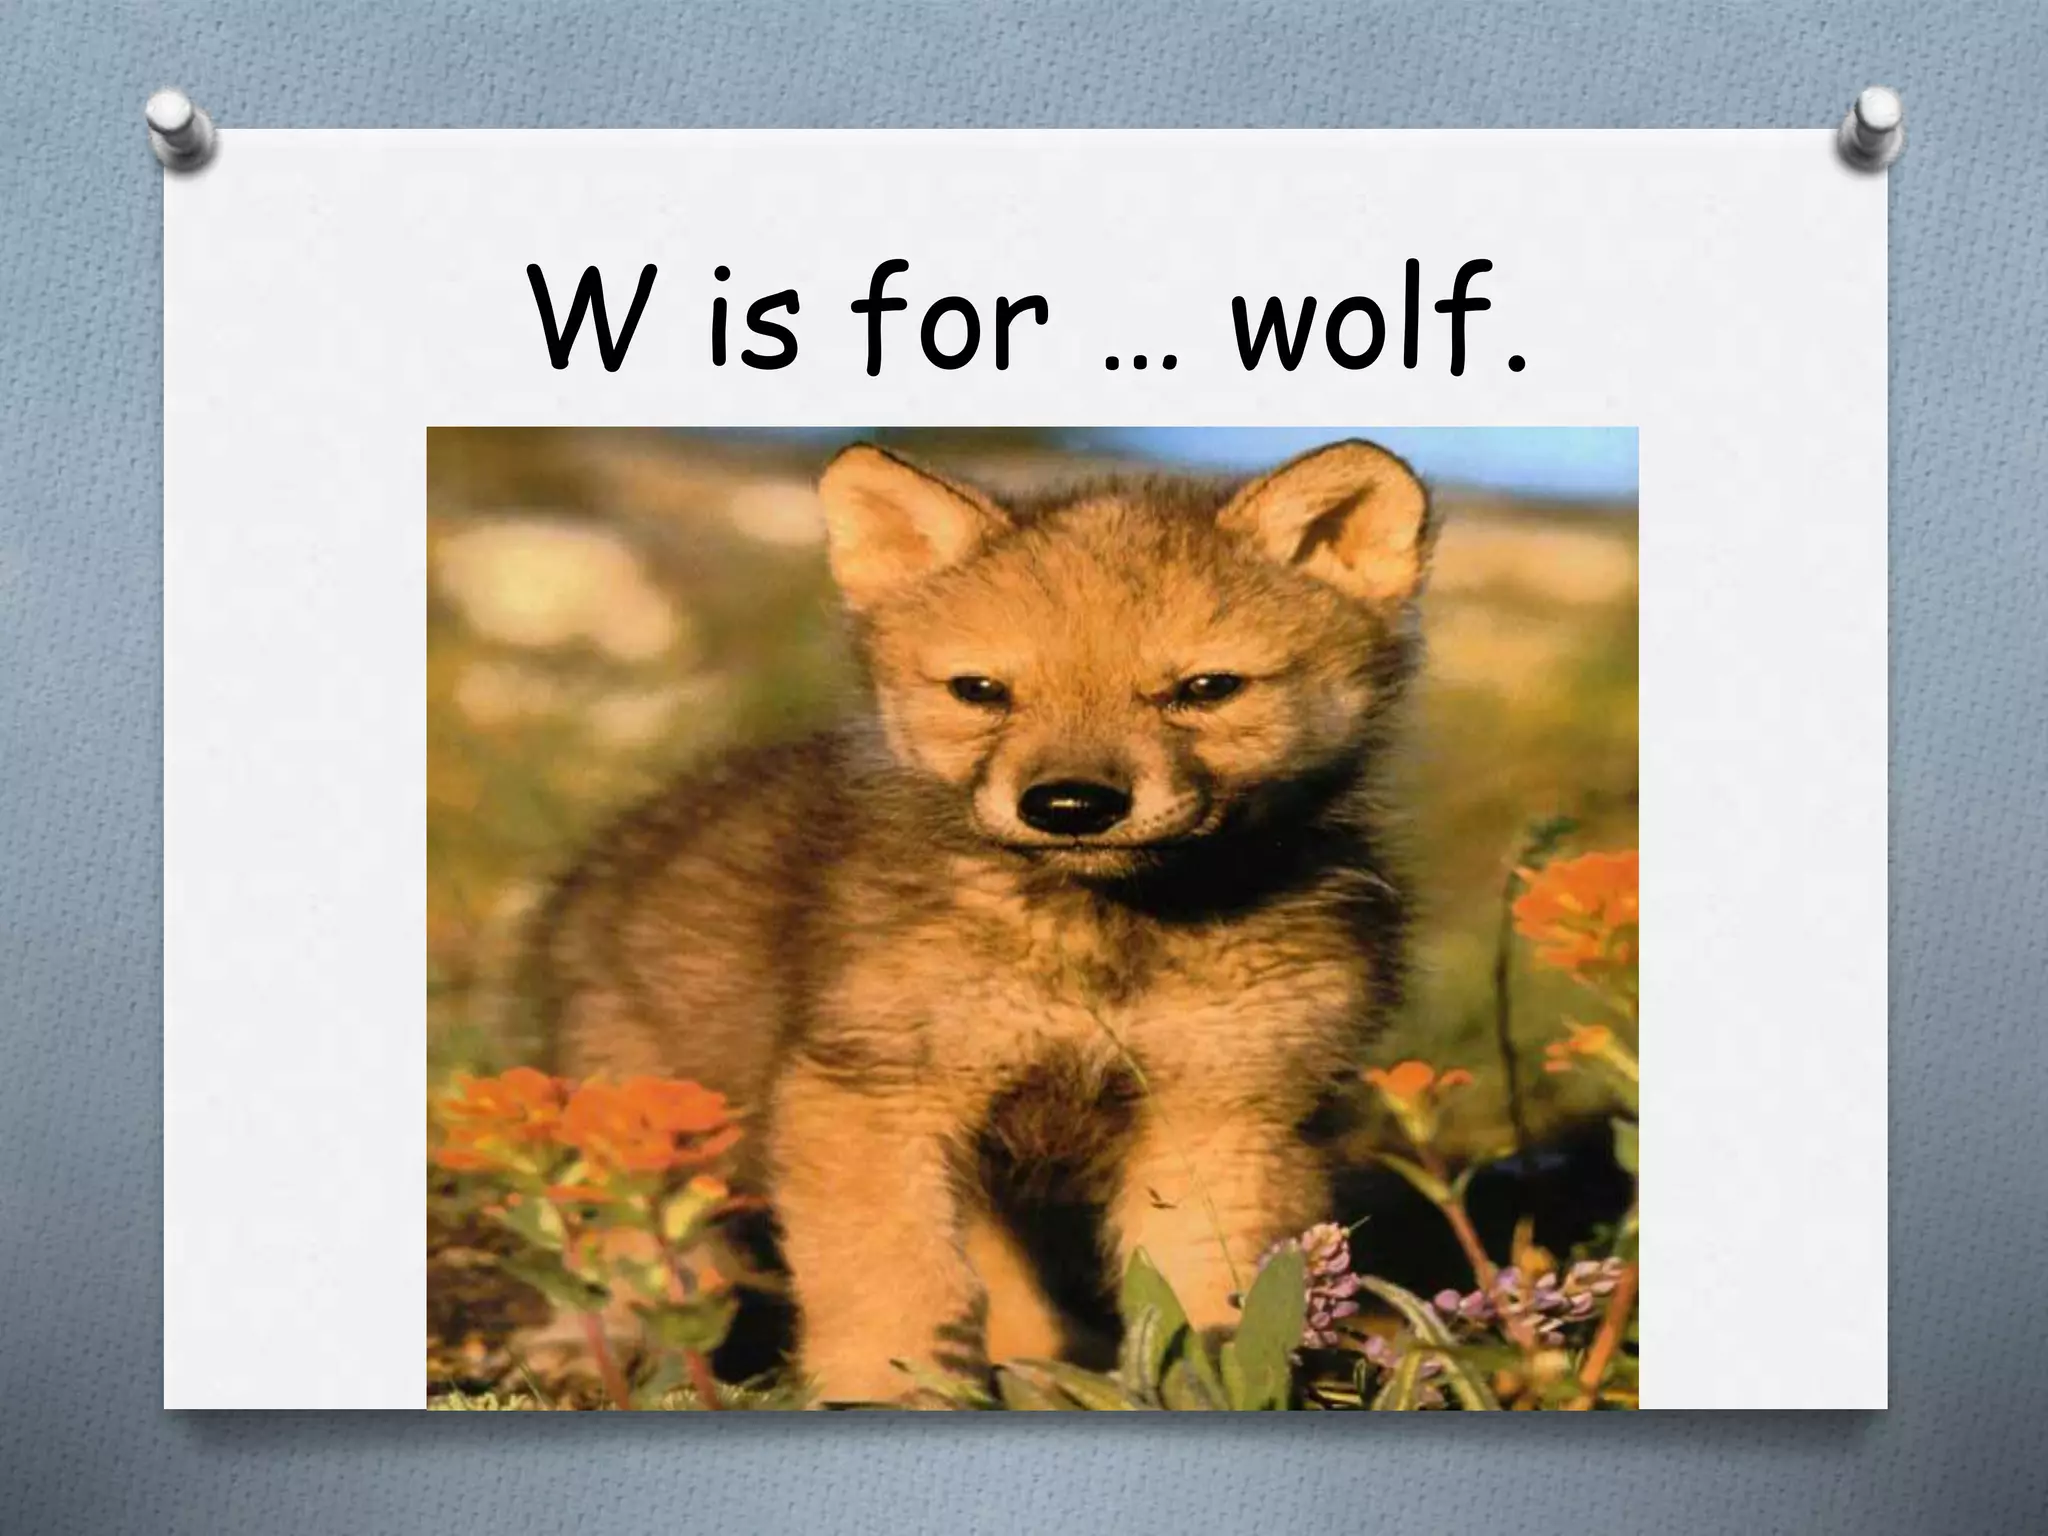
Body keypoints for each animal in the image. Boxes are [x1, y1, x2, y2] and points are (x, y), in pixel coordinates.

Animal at [528, 438, 1435, 1404]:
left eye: (1205, 688)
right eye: (982, 691)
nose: (1071, 804)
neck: (1098, 940)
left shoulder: (1229, 1111)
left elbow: (1206, 1301)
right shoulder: (874, 1092)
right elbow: (897, 1284)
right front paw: (886, 1396)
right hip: (652, 1128)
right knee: (632, 1253)